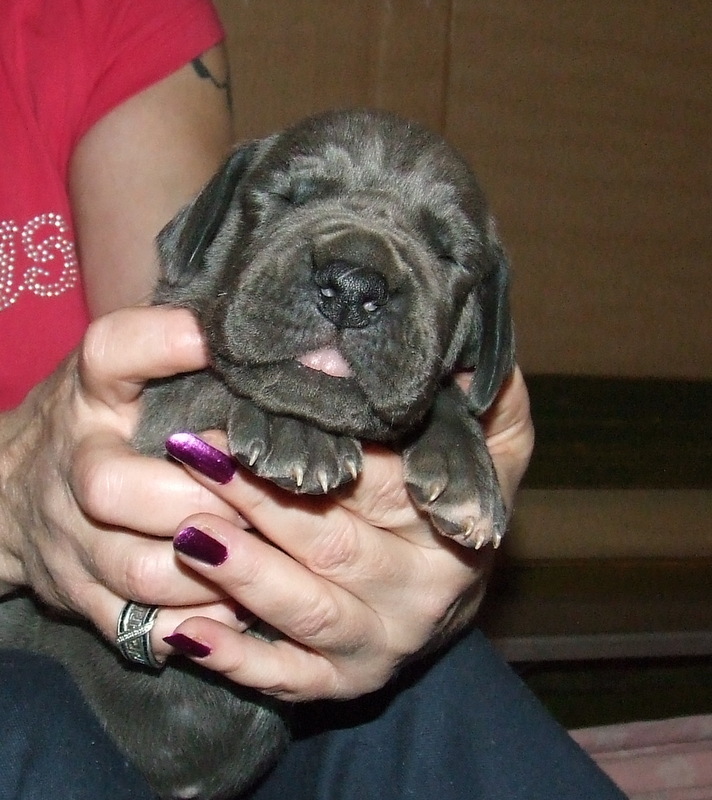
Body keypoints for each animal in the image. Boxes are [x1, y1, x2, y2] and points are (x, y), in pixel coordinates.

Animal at [0, 110, 514, 798]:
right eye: (287, 197)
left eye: (450, 253)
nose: (352, 283)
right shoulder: (153, 421)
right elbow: (218, 385)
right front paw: (294, 432)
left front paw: (466, 472)